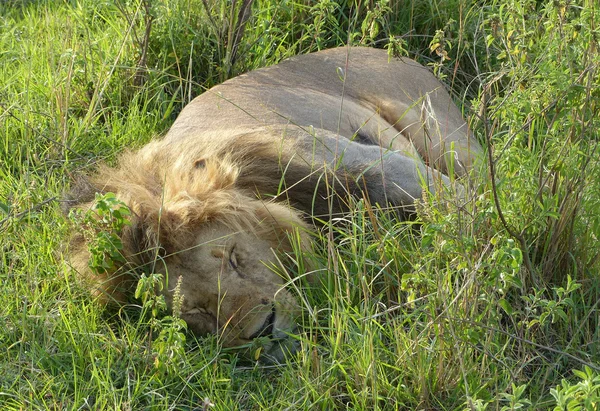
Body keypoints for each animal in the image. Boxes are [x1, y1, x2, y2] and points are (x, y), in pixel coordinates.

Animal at [68, 47, 482, 364]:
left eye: (233, 257)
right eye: (197, 311)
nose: (262, 331)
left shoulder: (354, 160)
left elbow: (452, 202)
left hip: (440, 133)